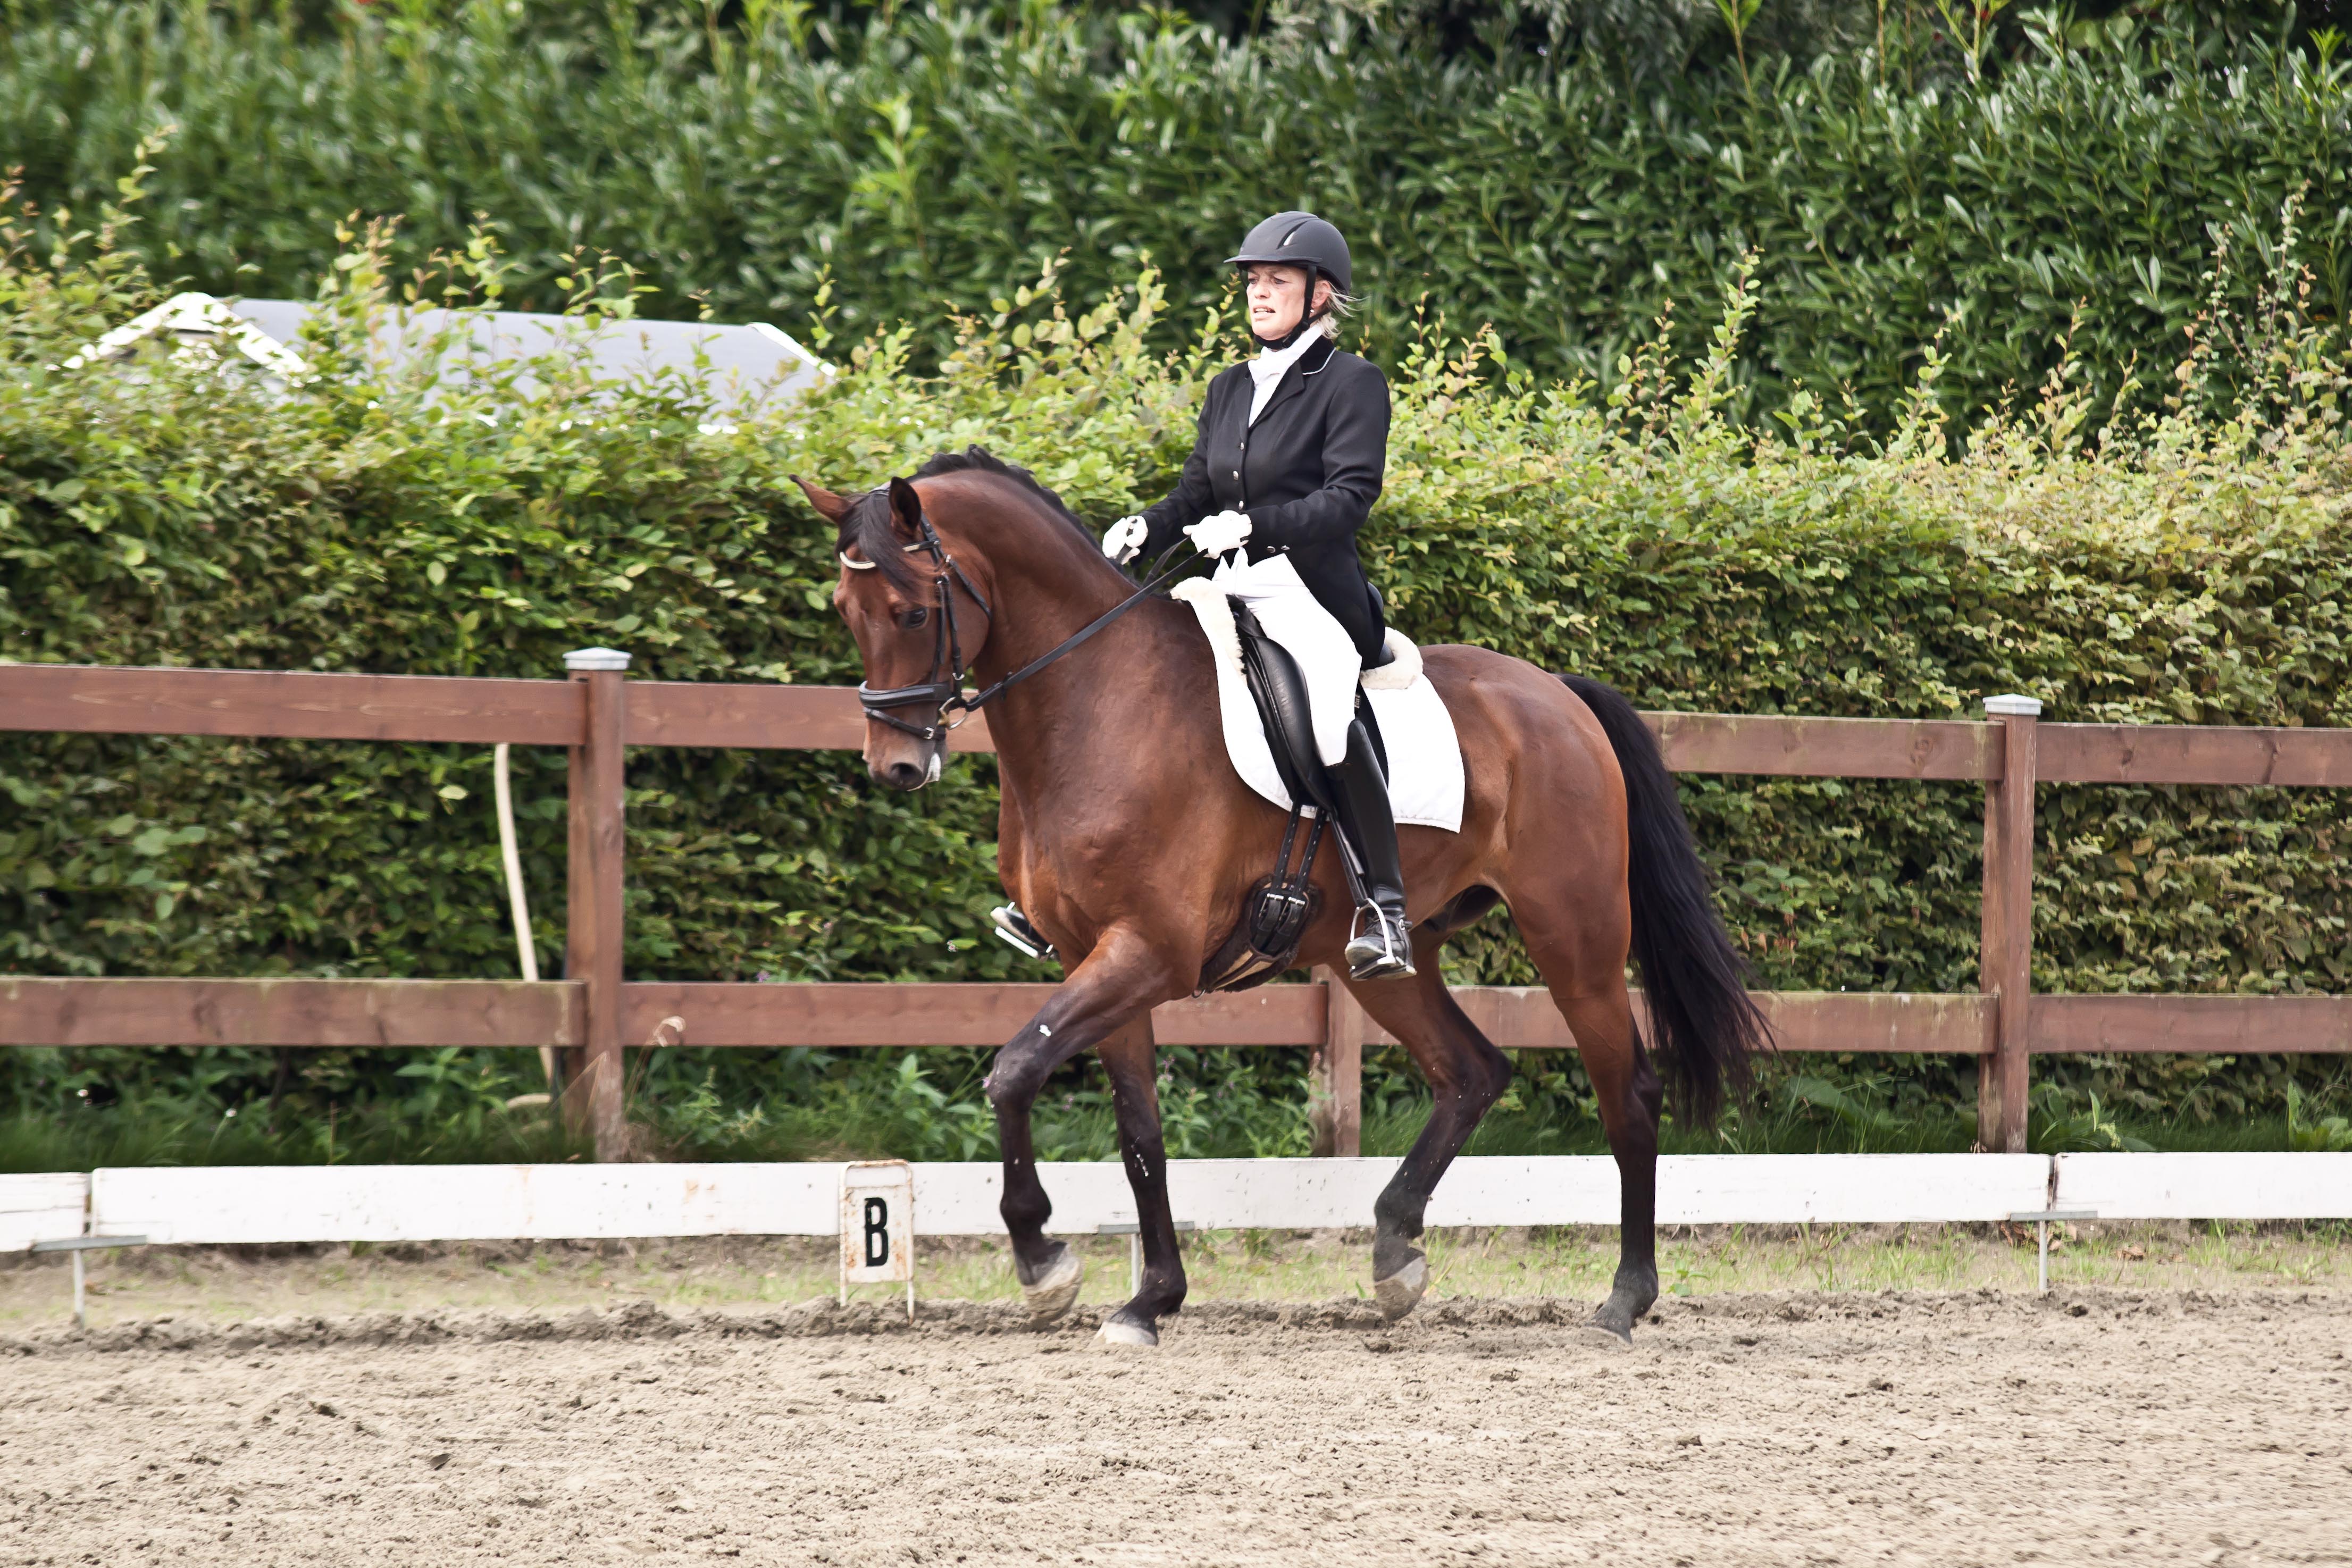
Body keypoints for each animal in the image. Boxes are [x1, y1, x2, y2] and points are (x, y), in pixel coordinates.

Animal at [794, 447, 1769, 1344]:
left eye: (912, 610)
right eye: (843, 612)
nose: (895, 767)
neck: (1097, 701)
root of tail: (1555, 692)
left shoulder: (1147, 953)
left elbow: (1012, 1071)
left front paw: (1043, 1263)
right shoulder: (1094, 957)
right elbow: (1138, 1132)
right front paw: (1150, 1300)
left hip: (1574, 937)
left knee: (1626, 1094)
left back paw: (1620, 1300)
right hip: (1383, 959)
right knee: (1470, 1071)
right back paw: (1394, 1253)